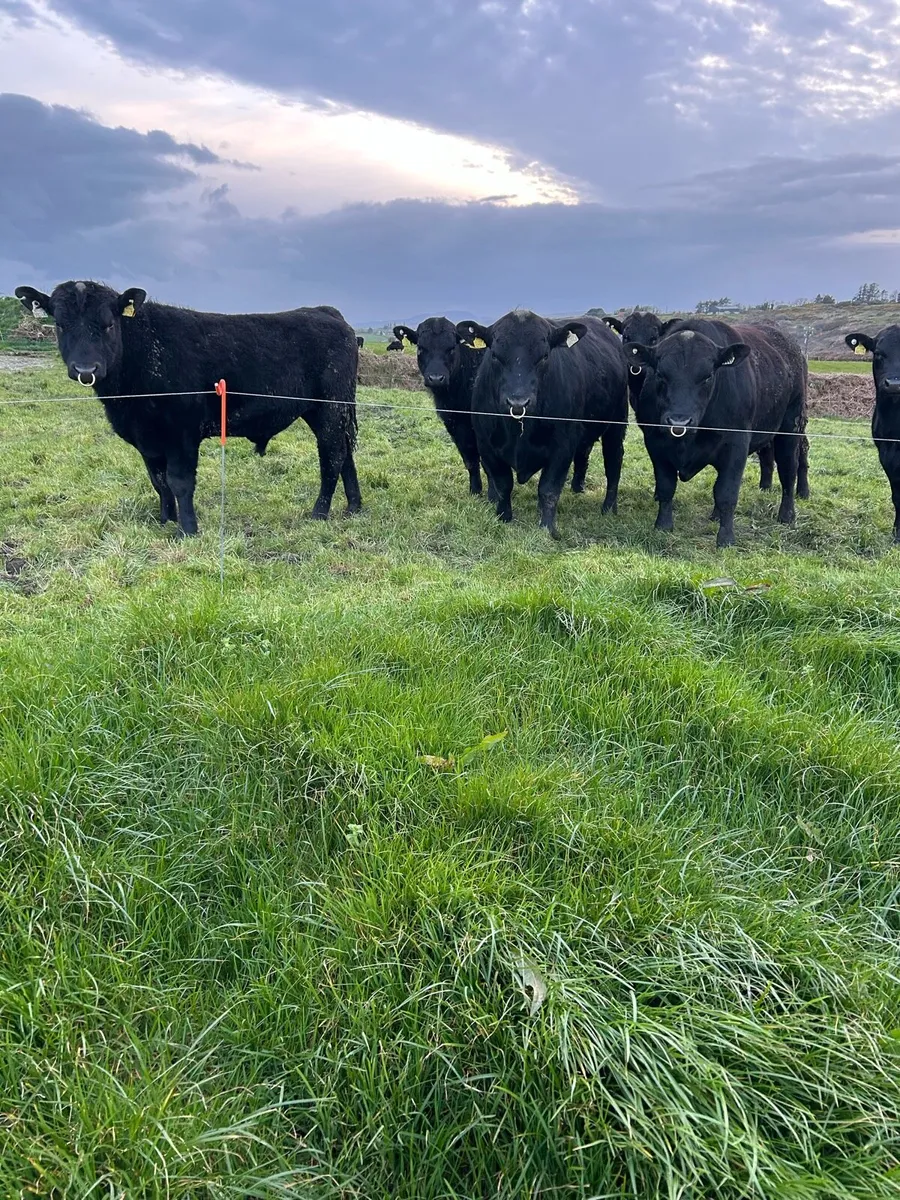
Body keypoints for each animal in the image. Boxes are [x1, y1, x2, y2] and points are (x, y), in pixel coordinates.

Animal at [15, 280, 361, 536]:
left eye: (109, 324)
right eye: (61, 324)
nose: (86, 369)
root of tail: (325, 312)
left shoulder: (182, 433)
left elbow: (180, 481)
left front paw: (188, 530)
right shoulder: (147, 438)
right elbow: (159, 481)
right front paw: (166, 519)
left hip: (330, 409)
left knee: (332, 456)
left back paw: (319, 513)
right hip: (330, 412)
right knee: (345, 453)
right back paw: (354, 507)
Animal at [393, 319, 486, 494]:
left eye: (451, 348)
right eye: (421, 348)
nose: (436, 378)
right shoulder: (456, 426)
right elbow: (470, 461)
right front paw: (475, 492)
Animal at [456, 310, 628, 538]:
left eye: (545, 356)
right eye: (494, 355)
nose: (518, 402)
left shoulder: (562, 448)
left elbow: (548, 489)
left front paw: (547, 528)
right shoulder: (486, 446)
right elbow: (503, 485)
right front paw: (503, 518)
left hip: (617, 423)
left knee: (613, 463)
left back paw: (608, 507)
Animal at [626, 320, 807, 547]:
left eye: (708, 376)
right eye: (660, 374)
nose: (679, 421)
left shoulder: (736, 446)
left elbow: (726, 493)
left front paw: (726, 538)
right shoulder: (656, 444)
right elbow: (666, 487)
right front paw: (663, 526)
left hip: (791, 427)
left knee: (788, 470)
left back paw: (787, 515)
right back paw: (715, 515)